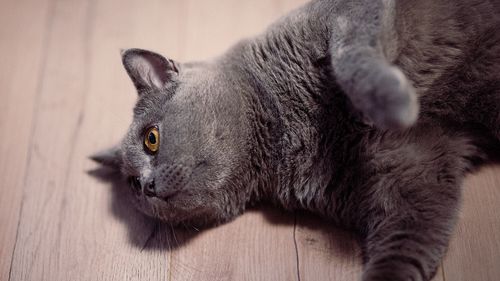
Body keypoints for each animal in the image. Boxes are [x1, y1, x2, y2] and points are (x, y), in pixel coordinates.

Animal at [92, 0, 500, 278]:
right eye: (132, 184)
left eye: (151, 139)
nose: (147, 185)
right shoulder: (413, 173)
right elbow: (410, 238)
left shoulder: (347, 15)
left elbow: (351, 54)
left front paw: (393, 103)